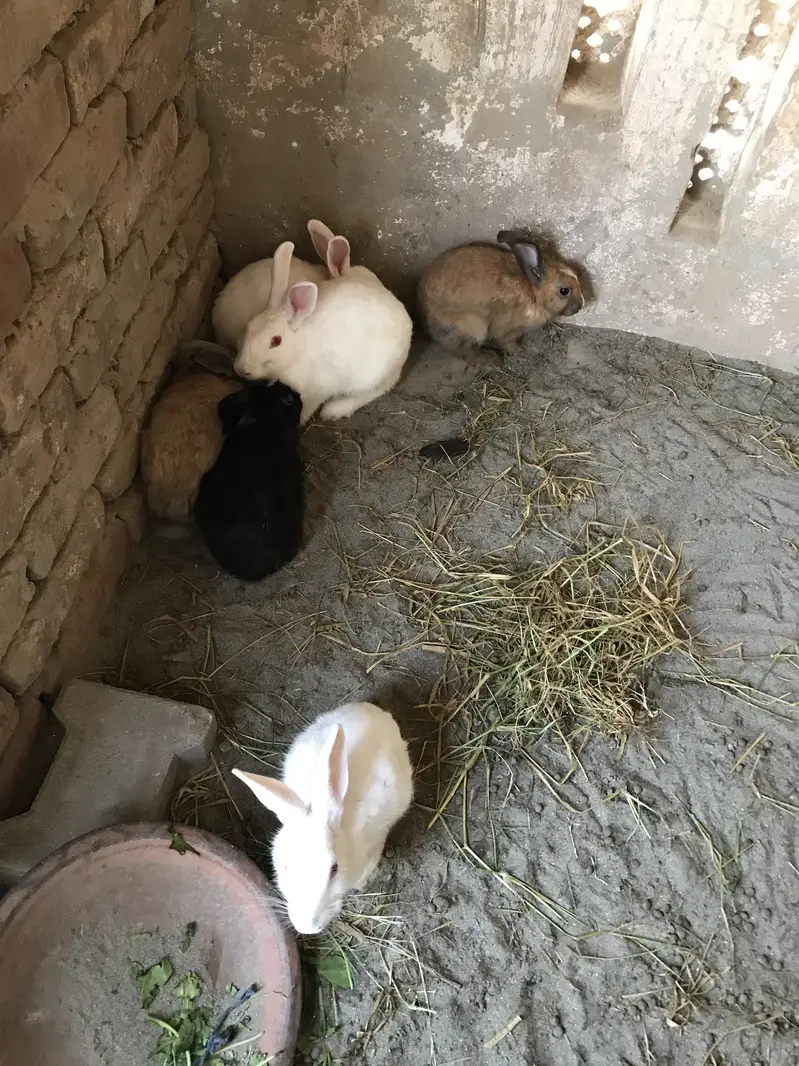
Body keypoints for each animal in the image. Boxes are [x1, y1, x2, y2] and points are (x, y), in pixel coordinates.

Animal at [234, 240, 413, 424]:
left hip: (373, 375)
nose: (241, 369)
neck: (295, 352)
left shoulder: (314, 393)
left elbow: (306, 409)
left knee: (377, 390)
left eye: (276, 341)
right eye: (249, 326)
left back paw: (335, 410)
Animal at [417, 231, 584, 366]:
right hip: (474, 325)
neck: (534, 293)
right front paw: (519, 350)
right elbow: (506, 342)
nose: (580, 306)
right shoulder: (507, 331)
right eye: (564, 291)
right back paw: (492, 360)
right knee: (463, 350)